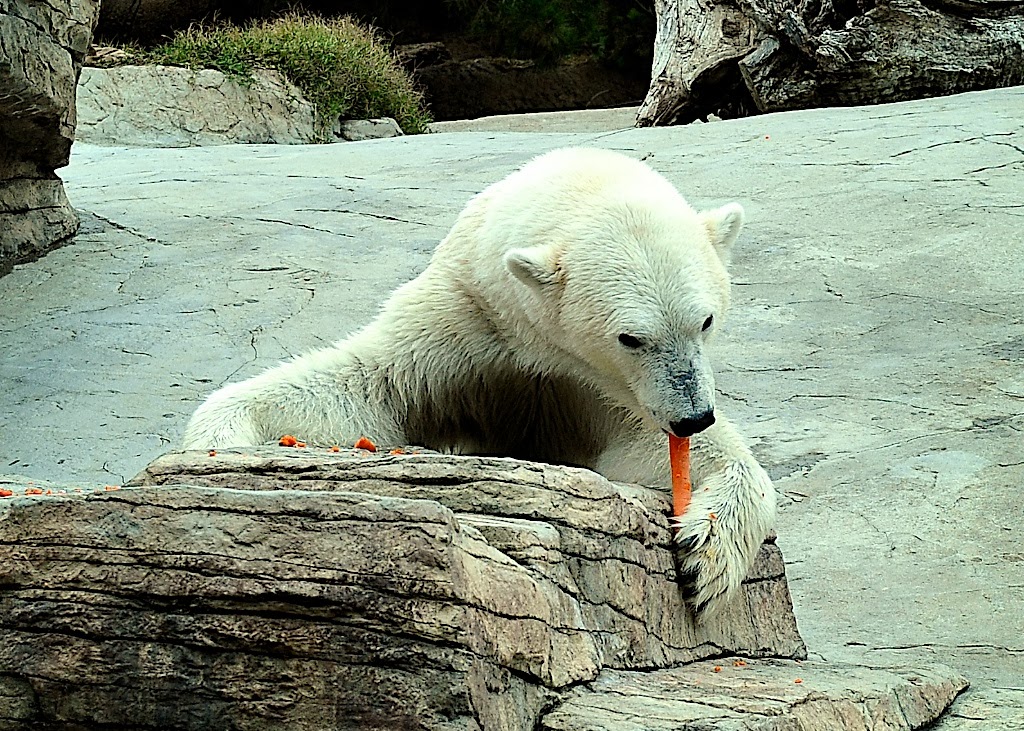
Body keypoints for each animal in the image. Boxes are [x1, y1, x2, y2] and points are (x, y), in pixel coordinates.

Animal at [183, 147, 777, 617]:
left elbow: (644, 445)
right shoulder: (465, 316)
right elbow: (367, 385)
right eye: (631, 337)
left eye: (706, 320)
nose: (692, 416)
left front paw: (706, 556)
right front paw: (221, 442)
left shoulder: (589, 384)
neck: (529, 336)